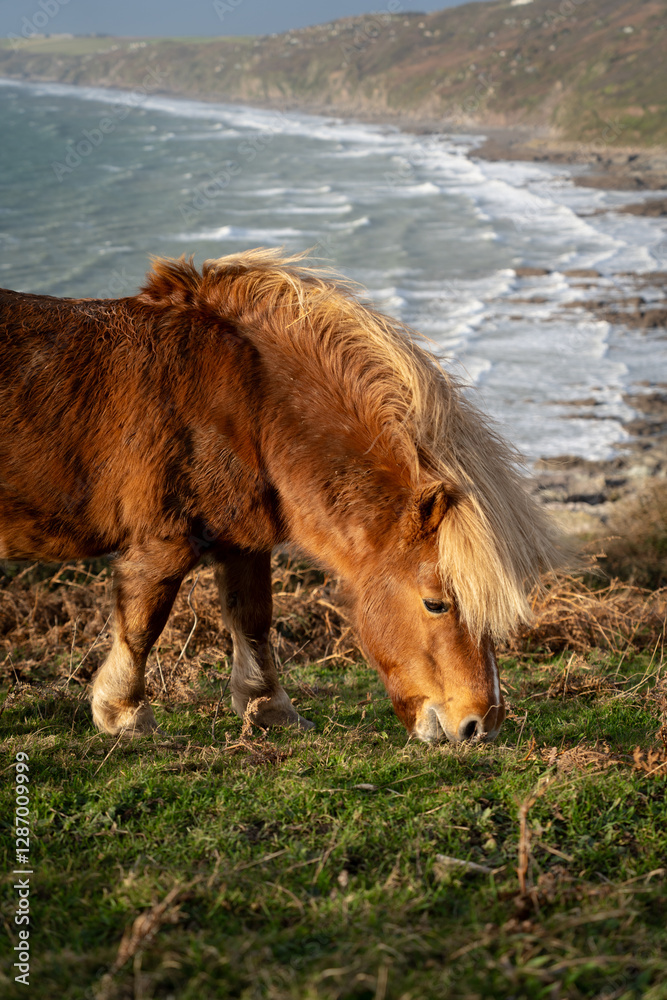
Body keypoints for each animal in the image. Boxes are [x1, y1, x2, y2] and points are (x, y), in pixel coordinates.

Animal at [0, 249, 558, 743]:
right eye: (436, 604)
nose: (481, 725)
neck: (245, 400)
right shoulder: (163, 545)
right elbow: (141, 625)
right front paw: (124, 714)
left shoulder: (243, 541)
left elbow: (252, 619)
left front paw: (269, 708)